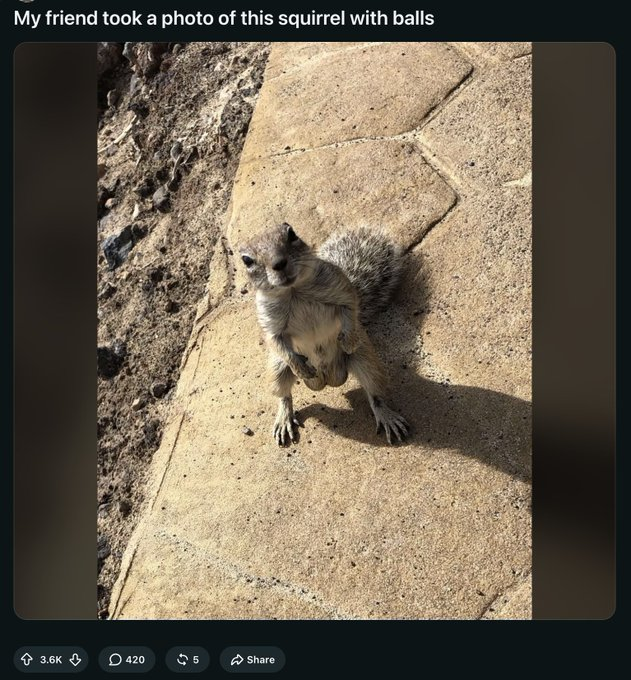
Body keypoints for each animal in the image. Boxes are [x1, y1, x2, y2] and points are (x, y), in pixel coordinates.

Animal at [239, 222, 409, 446]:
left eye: (292, 234)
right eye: (246, 260)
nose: (279, 263)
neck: (294, 291)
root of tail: (328, 380)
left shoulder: (341, 288)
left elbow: (351, 307)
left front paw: (348, 340)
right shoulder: (269, 321)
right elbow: (275, 341)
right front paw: (300, 368)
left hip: (367, 361)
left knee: (375, 394)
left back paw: (387, 416)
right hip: (277, 369)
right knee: (283, 395)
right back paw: (284, 417)